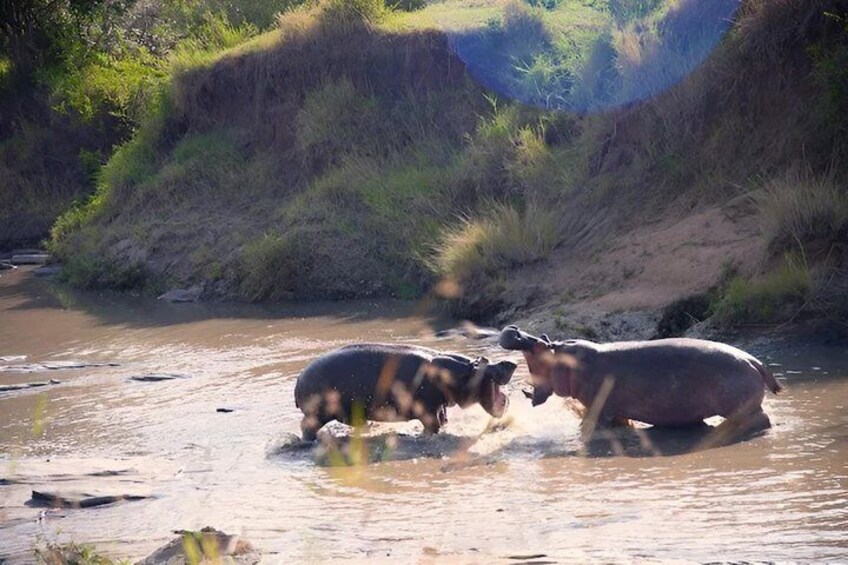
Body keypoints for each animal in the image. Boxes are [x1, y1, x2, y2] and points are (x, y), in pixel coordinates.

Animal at [294, 344, 516, 441]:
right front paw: (424, 437)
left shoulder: (439, 407)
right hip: (318, 414)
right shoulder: (428, 410)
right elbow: (433, 426)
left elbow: (442, 420)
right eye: (483, 365)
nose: (511, 362)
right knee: (306, 427)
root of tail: (300, 379)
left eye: (483, 358)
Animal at [499, 326, 781, 429]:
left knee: (761, 419)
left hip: (740, 407)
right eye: (544, 338)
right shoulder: (615, 411)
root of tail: (754, 361)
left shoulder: (598, 410)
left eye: (539, 344)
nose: (514, 330)